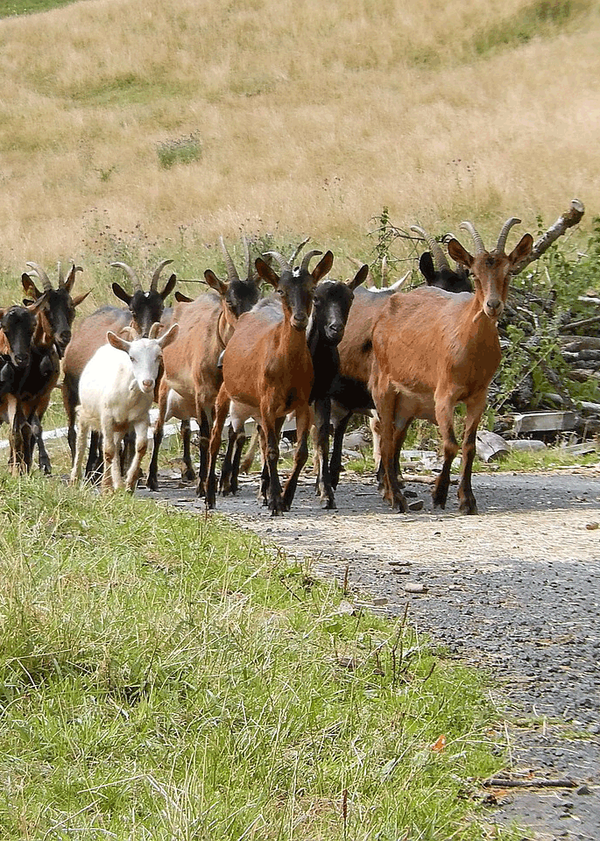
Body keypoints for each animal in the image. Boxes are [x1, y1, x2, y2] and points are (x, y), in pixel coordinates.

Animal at [69, 322, 178, 492]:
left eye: (159, 356)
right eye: (132, 358)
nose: (147, 383)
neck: (128, 396)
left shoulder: (141, 418)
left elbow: (140, 447)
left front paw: (129, 485)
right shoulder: (107, 417)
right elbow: (107, 450)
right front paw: (106, 488)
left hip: (120, 425)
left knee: (116, 445)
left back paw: (119, 483)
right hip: (87, 411)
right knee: (82, 439)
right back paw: (75, 478)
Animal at [207, 246, 332, 516]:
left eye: (312, 290)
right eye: (282, 290)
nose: (299, 319)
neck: (286, 364)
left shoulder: (301, 404)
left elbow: (301, 453)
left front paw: (285, 497)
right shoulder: (267, 402)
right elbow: (273, 451)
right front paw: (275, 501)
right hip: (226, 394)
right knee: (214, 439)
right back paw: (209, 496)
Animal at [372, 217, 532, 512]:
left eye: (508, 273)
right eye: (477, 275)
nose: (493, 305)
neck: (470, 347)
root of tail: (389, 307)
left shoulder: (478, 396)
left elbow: (469, 446)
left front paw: (467, 499)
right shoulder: (444, 394)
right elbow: (449, 444)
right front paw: (439, 494)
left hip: (409, 400)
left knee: (394, 437)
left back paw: (392, 492)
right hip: (384, 386)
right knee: (386, 439)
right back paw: (397, 499)